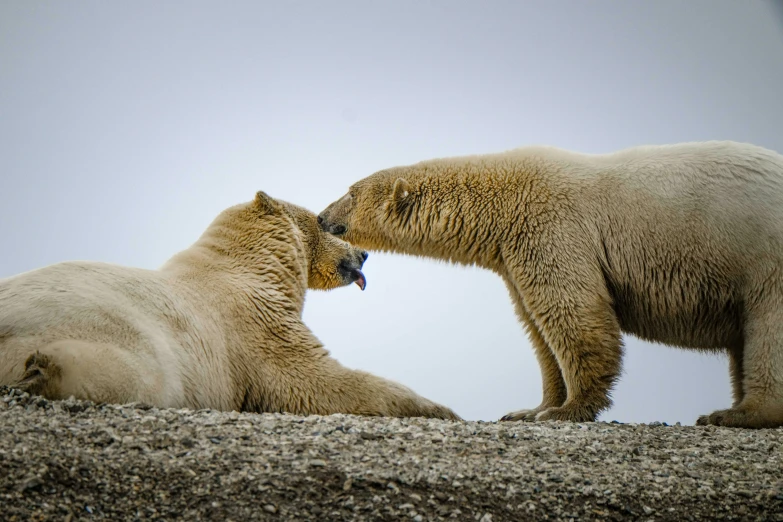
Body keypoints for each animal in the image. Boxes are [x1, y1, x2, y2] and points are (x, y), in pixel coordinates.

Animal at [0, 191, 460, 418]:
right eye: (326, 224)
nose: (363, 255)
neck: (248, 264)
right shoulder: (255, 327)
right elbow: (317, 380)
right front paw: (440, 409)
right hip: (127, 339)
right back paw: (43, 371)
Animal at [316, 140, 783, 424]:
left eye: (350, 192)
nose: (321, 217)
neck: (501, 202)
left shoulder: (551, 227)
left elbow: (574, 314)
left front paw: (568, 410)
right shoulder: (513, 254)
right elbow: (538, 328)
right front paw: (530, 409)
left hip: (764, 254)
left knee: (767, 329)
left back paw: (738, 414)